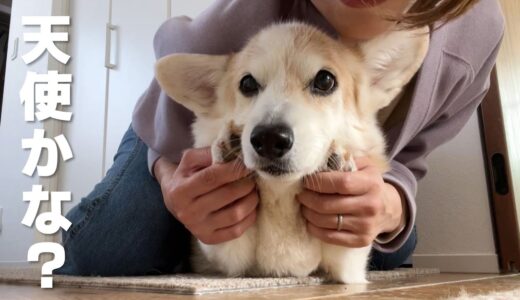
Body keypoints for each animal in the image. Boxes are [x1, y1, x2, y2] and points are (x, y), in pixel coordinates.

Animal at [155, 22, 430, 282]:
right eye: (247, 83)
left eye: (325, 80)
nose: (268, 139)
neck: (282, 193)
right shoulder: (227, 259)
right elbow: (226, 241)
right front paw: (230, 149)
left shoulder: (350, 265)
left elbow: (345, 252)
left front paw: (337, 165)